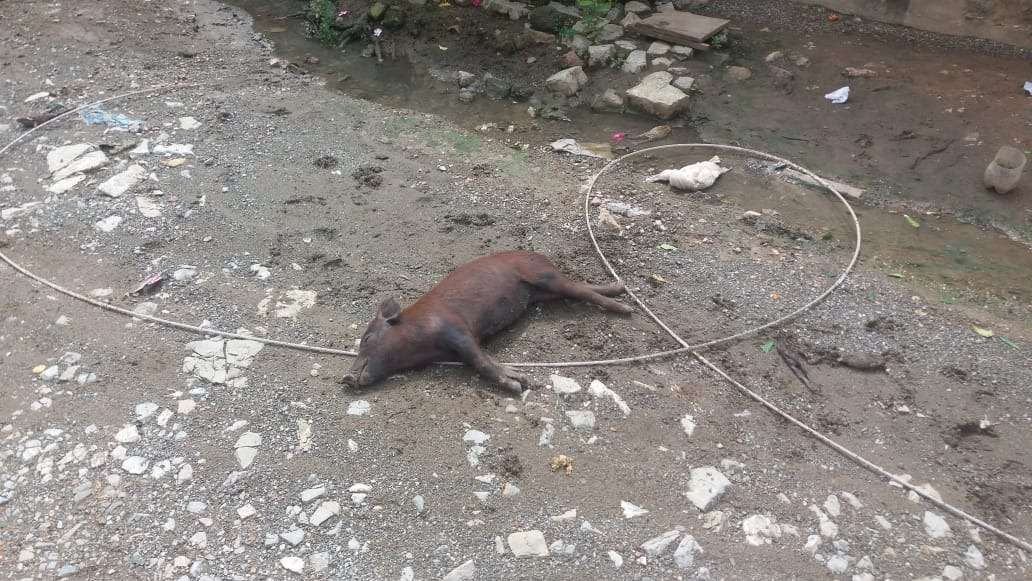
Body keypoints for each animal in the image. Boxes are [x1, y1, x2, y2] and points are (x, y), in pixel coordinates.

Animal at [342, 252, 631, 394]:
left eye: (366, 339)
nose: (346, 377)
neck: (420, 345)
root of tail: (539, 254)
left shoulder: (458, 330)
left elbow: (481, 361)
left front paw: (519, 385)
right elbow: (478, 362)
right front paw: (518, 380)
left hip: (544, 276)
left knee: (583, 291)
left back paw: (626, 309)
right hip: (544, 291)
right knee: (581, 287)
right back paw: (620, 288)